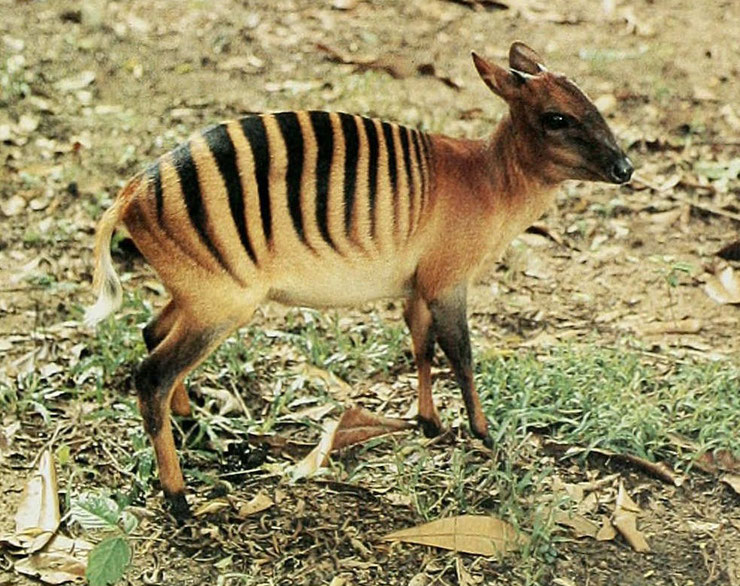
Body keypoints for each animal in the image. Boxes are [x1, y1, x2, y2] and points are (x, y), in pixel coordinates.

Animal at [85, 42, 632, 516]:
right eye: (557, 118)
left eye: (591, 104)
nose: (625, 167)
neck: (490, 180)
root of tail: (132, 191)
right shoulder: (447, 281)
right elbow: (461, 356)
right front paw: (482, 431)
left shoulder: (417, 285)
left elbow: (420, 347)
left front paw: (429, 421)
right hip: (223, 302)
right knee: (152, 374)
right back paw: (177, 496)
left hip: (200, 293)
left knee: (152, 334)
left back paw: (189, 420)